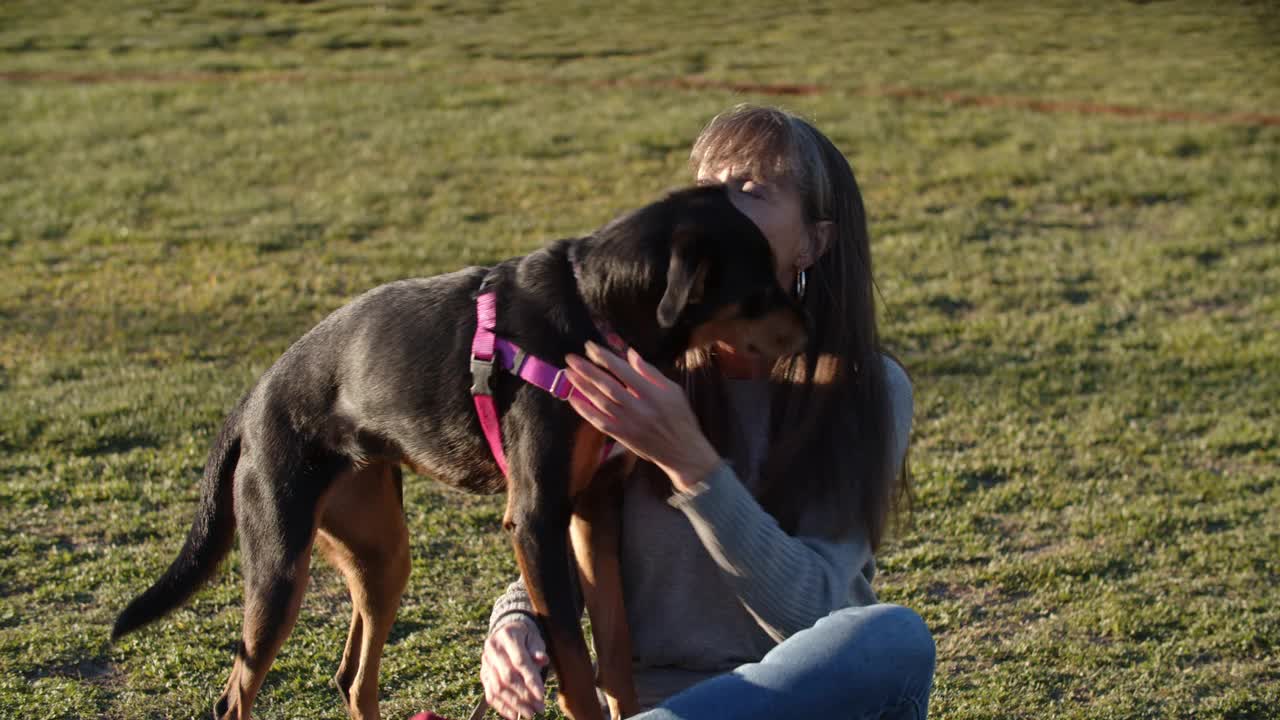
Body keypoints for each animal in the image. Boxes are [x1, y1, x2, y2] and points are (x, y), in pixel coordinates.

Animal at [112, 183, 808, 717]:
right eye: (762, 286)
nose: (812, 332)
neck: (596, 309)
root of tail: (254, 397)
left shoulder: (592, 511)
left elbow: (612, 652)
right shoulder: (536, 519)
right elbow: (575, 668)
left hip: (382, 554)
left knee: (352, 679)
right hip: (280, 567)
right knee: (235, 696)